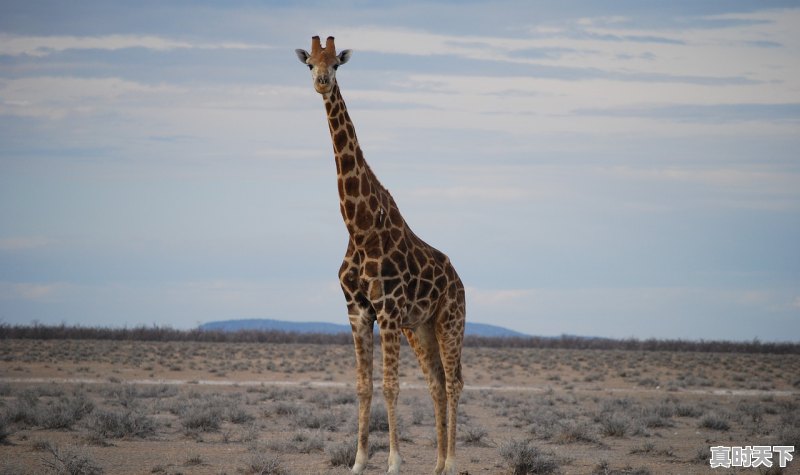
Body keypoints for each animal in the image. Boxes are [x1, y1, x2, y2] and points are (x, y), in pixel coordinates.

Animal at [296, 37, 466, 475]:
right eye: (310, 65)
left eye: (337, 64)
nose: (322, 82)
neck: (359, 228)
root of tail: (459, 279)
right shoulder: (358, 312)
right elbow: (363, 386)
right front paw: (358, 461)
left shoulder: (387, 310)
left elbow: (390, 386)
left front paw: (393, 461)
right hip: (420, 328)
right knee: (436, 383)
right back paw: (437, 465)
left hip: (449, 319)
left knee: (454, 381)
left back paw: (452, 461)